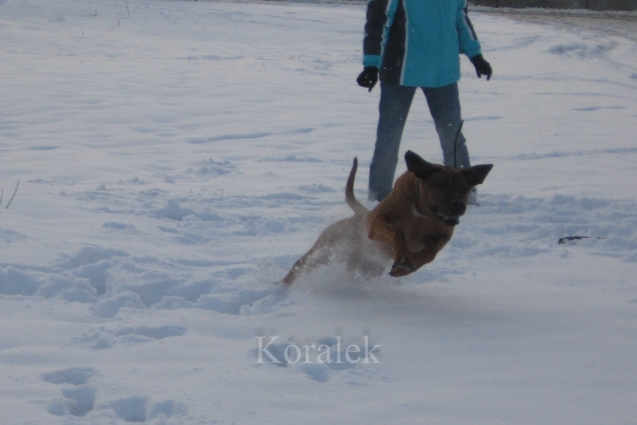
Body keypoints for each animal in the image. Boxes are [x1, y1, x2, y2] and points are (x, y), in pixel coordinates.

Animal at [278, 150, 492, 284]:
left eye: (465, 189)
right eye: (439, 185)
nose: (458, 204)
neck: (422, 214)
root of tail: (361, 214)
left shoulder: (443, 235)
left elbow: (430, 252)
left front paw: (407, 265)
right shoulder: (377, 226)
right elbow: (398, 233)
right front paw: (403, 256)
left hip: (367, 268)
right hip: (326, 249)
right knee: (300, 266)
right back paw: (282, 287)